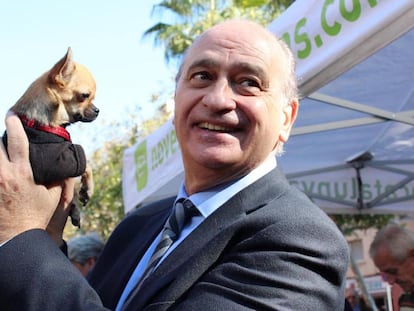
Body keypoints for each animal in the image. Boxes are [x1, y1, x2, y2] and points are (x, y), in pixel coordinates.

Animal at [3, 47, 98, 227]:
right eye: (84, 95)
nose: (97, 110)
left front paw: (78, 203)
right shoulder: (53, 161)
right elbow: (85, 163)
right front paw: (88, 188)